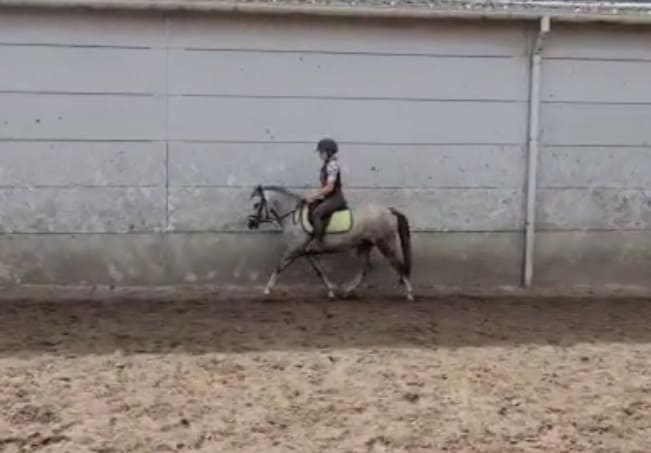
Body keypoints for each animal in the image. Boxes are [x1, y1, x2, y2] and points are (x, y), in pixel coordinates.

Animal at [246, 185, 414, 300]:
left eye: (256, 205)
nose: (250, 224)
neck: (294, 217)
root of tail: (389, 210)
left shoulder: (293, 250)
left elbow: (279, 267)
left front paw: (267, 289)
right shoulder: (306, 252)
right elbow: (319, 271)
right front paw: (331, 291)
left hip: (385, 243)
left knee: (398, 265)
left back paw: (409, 293)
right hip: (365, 244)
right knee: (367, 267)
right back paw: (348, 291)